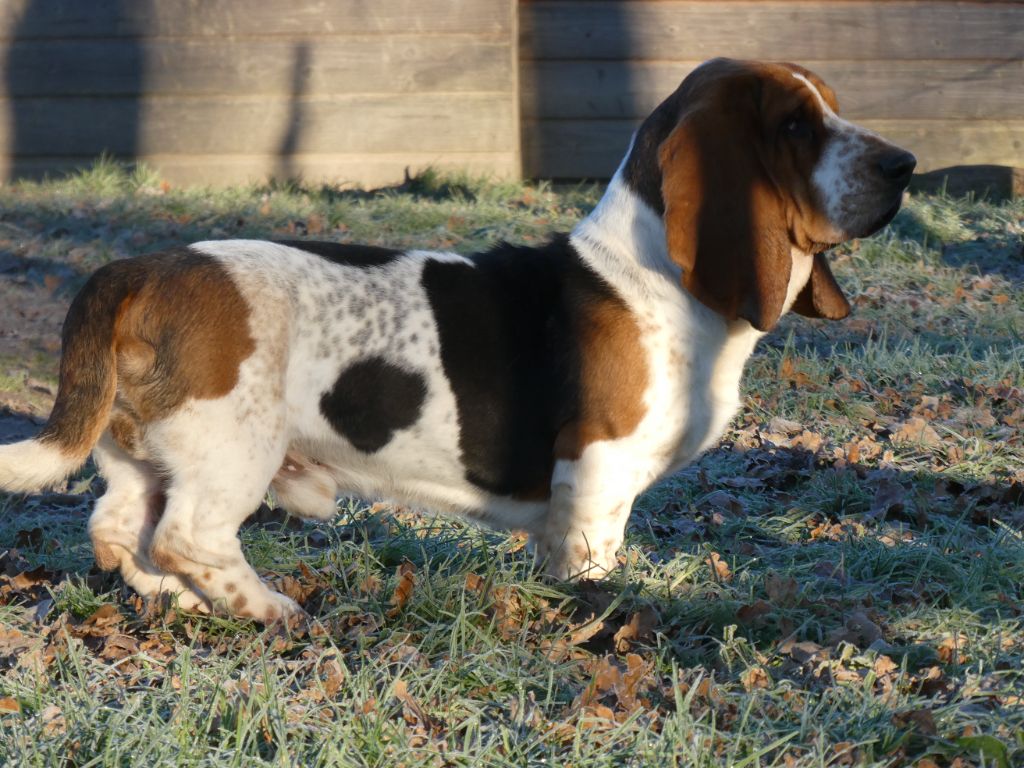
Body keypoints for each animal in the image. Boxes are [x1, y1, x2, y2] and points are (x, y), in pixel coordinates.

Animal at [0, 61, 913, 626]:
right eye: (795, 126)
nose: (904, 163)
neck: (655, 276)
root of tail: (141, 267)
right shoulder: (599, 473)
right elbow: (591, 563)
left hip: (142, 452)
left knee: (121, 528)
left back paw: (181, 596)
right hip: (234, 449)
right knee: (187, 534)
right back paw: (267, 606)